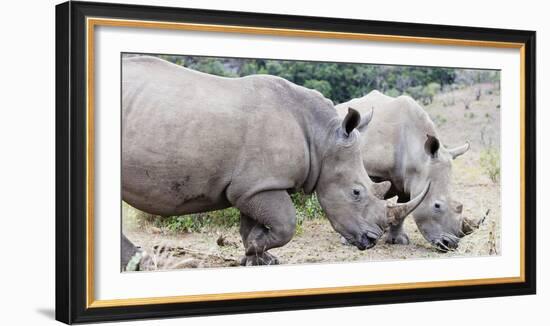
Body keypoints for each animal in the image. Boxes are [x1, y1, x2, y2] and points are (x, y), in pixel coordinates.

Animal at [122, 55, 432, 264]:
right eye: (356, 192)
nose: (371, 240)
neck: (323, 138)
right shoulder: (260, 185)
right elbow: (286, 224)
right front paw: (255, 251)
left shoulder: (254, 185)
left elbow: (252, 224)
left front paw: (257, 257)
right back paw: (139, 262)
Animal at [334, 91, 480, 252]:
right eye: (437, 206)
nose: (450, 244)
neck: (419, 154)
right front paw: (349, 240)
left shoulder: (408, 180)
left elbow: (404, 206)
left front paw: (397, 241)